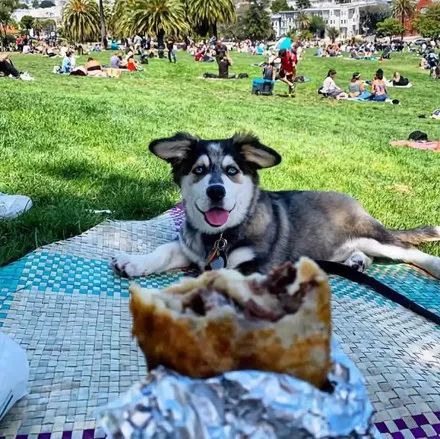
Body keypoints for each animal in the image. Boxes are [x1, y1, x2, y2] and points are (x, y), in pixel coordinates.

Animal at [112, 132, 440, 280]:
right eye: (199, 170)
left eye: (232, 171)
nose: (216, 192)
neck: (221, 237)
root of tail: (355, 202)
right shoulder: (189, 246)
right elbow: (164, 250)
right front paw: (134, 261)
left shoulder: (260, 268)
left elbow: (223, 274)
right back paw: (356, 261)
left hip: (374, 235)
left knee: (406, 250)